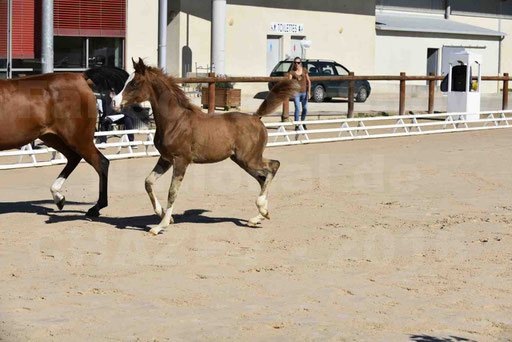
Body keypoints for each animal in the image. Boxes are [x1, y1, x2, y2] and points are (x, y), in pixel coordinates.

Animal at [0, 72, 109, 216]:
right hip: (53, 137)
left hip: (78, 139)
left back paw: (95, 208)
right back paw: (59, 197)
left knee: (101, 162)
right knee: (74, 157)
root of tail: (80, 76)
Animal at [112, 58, 296, 235]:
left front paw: (160, 226)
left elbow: (172, 192)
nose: (114, 102)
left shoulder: (181, 160)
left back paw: (261, 209)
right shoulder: (166, 159)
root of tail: (256, 117)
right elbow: (148, 182)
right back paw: (259, 216)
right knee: (262, 178)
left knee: (274, 166)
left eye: (135, 83)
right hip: (241, 160)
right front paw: (164, 215)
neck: (174, 120)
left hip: (250, 158)